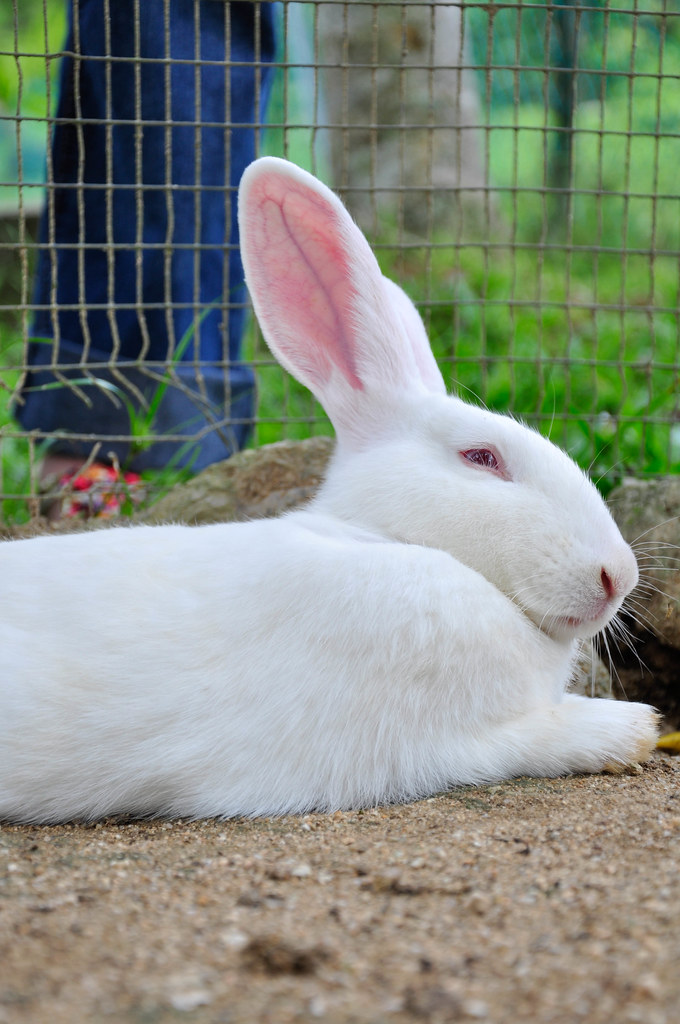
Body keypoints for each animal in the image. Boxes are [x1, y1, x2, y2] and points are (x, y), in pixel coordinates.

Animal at [0, 156, 659, 824]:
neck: (377, 537)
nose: (618, 576)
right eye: (482, 457)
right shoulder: (417, 747)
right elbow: (524, 741)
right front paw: (633, 727)